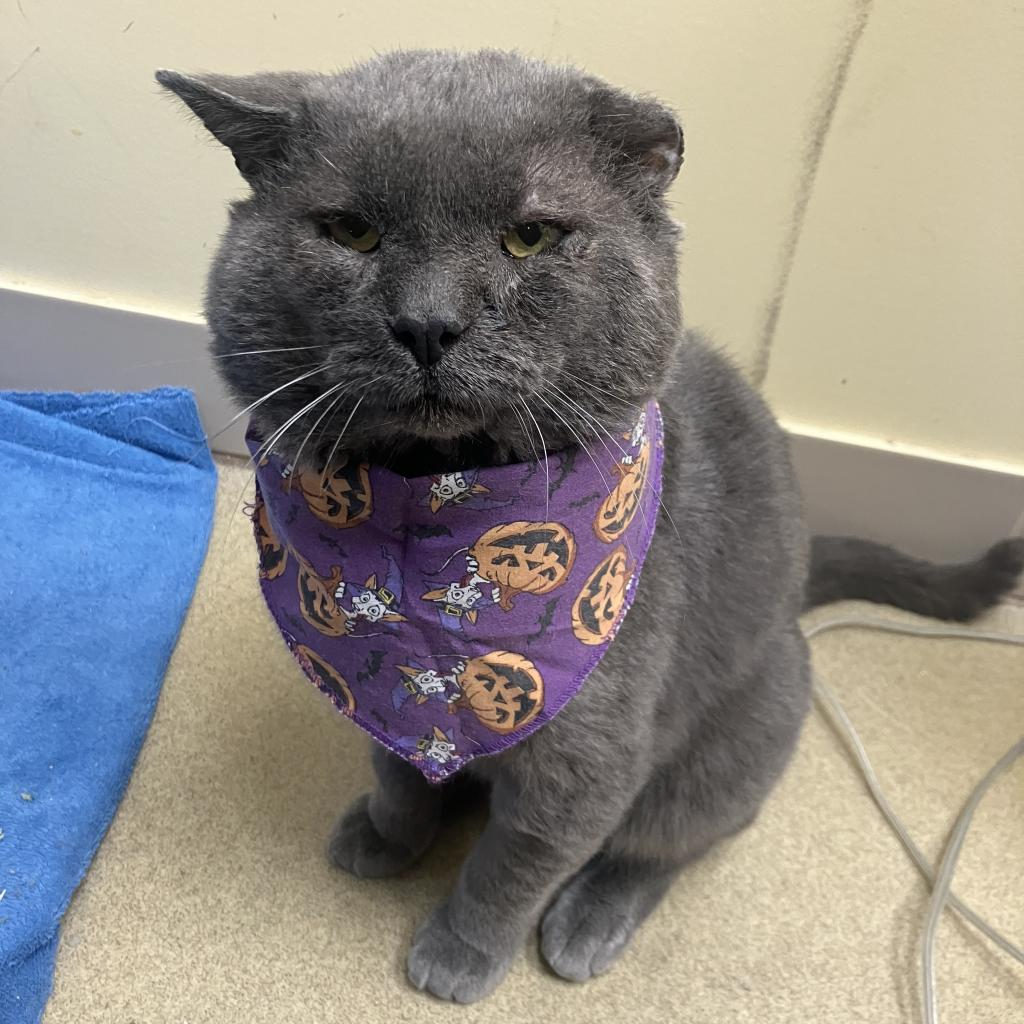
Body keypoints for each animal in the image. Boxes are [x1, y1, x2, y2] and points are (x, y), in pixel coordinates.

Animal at [158, 50, 1024, 1003]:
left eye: (531, 237)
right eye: (349, 230)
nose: (428, 322)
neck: (429, 526)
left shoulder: (587, 760)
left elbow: (514, 865)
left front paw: (458, 953)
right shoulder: (375, 695)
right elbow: (397, 770)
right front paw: (385, 834)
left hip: (740, 735)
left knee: (664, 847)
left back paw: (589, 923)